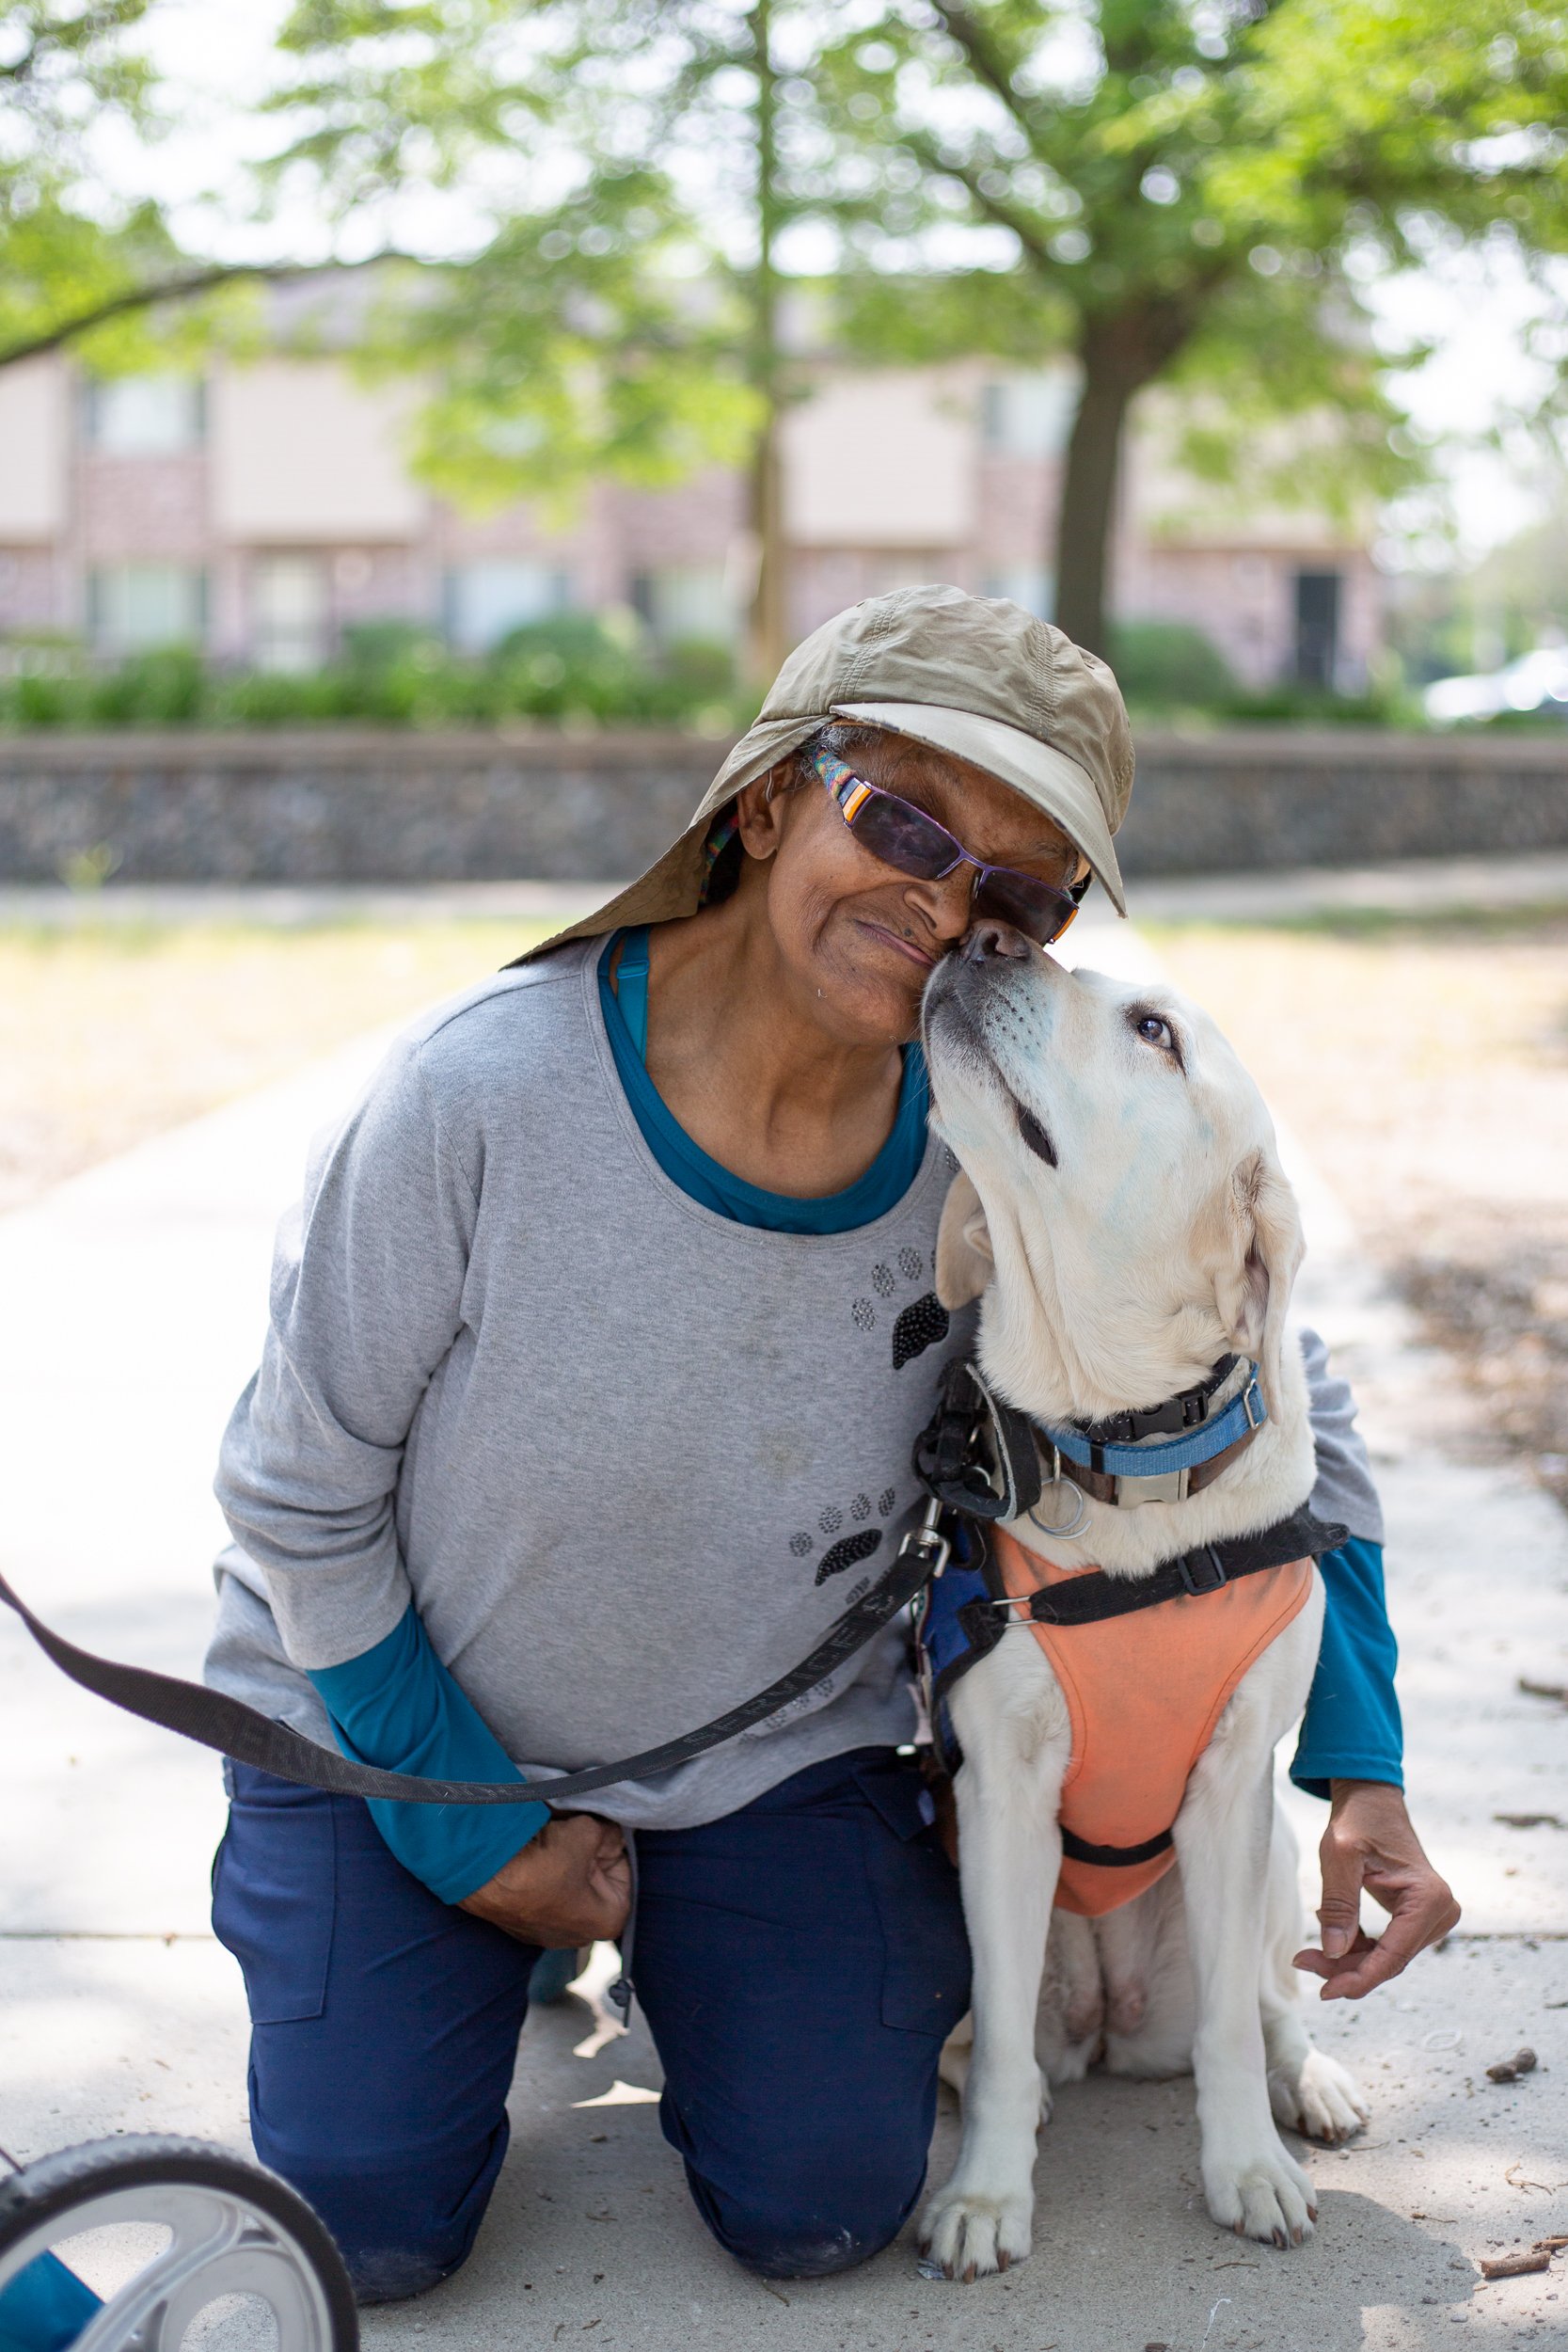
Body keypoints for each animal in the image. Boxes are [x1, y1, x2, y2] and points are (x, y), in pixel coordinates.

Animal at [911, 917, 1363, 2277]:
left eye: (1153, 1030)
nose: (987, 932)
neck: (1118, 1452)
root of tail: (1112, 2015)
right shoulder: (1001, 1796)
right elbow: (1003, 2041)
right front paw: (985, 2194)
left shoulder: (1228, 1788)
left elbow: (1227, 2029)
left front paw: (1245, 2172)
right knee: (995, 2039)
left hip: (1275, 1856)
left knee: (1264, 2002)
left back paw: (1307, 2086)